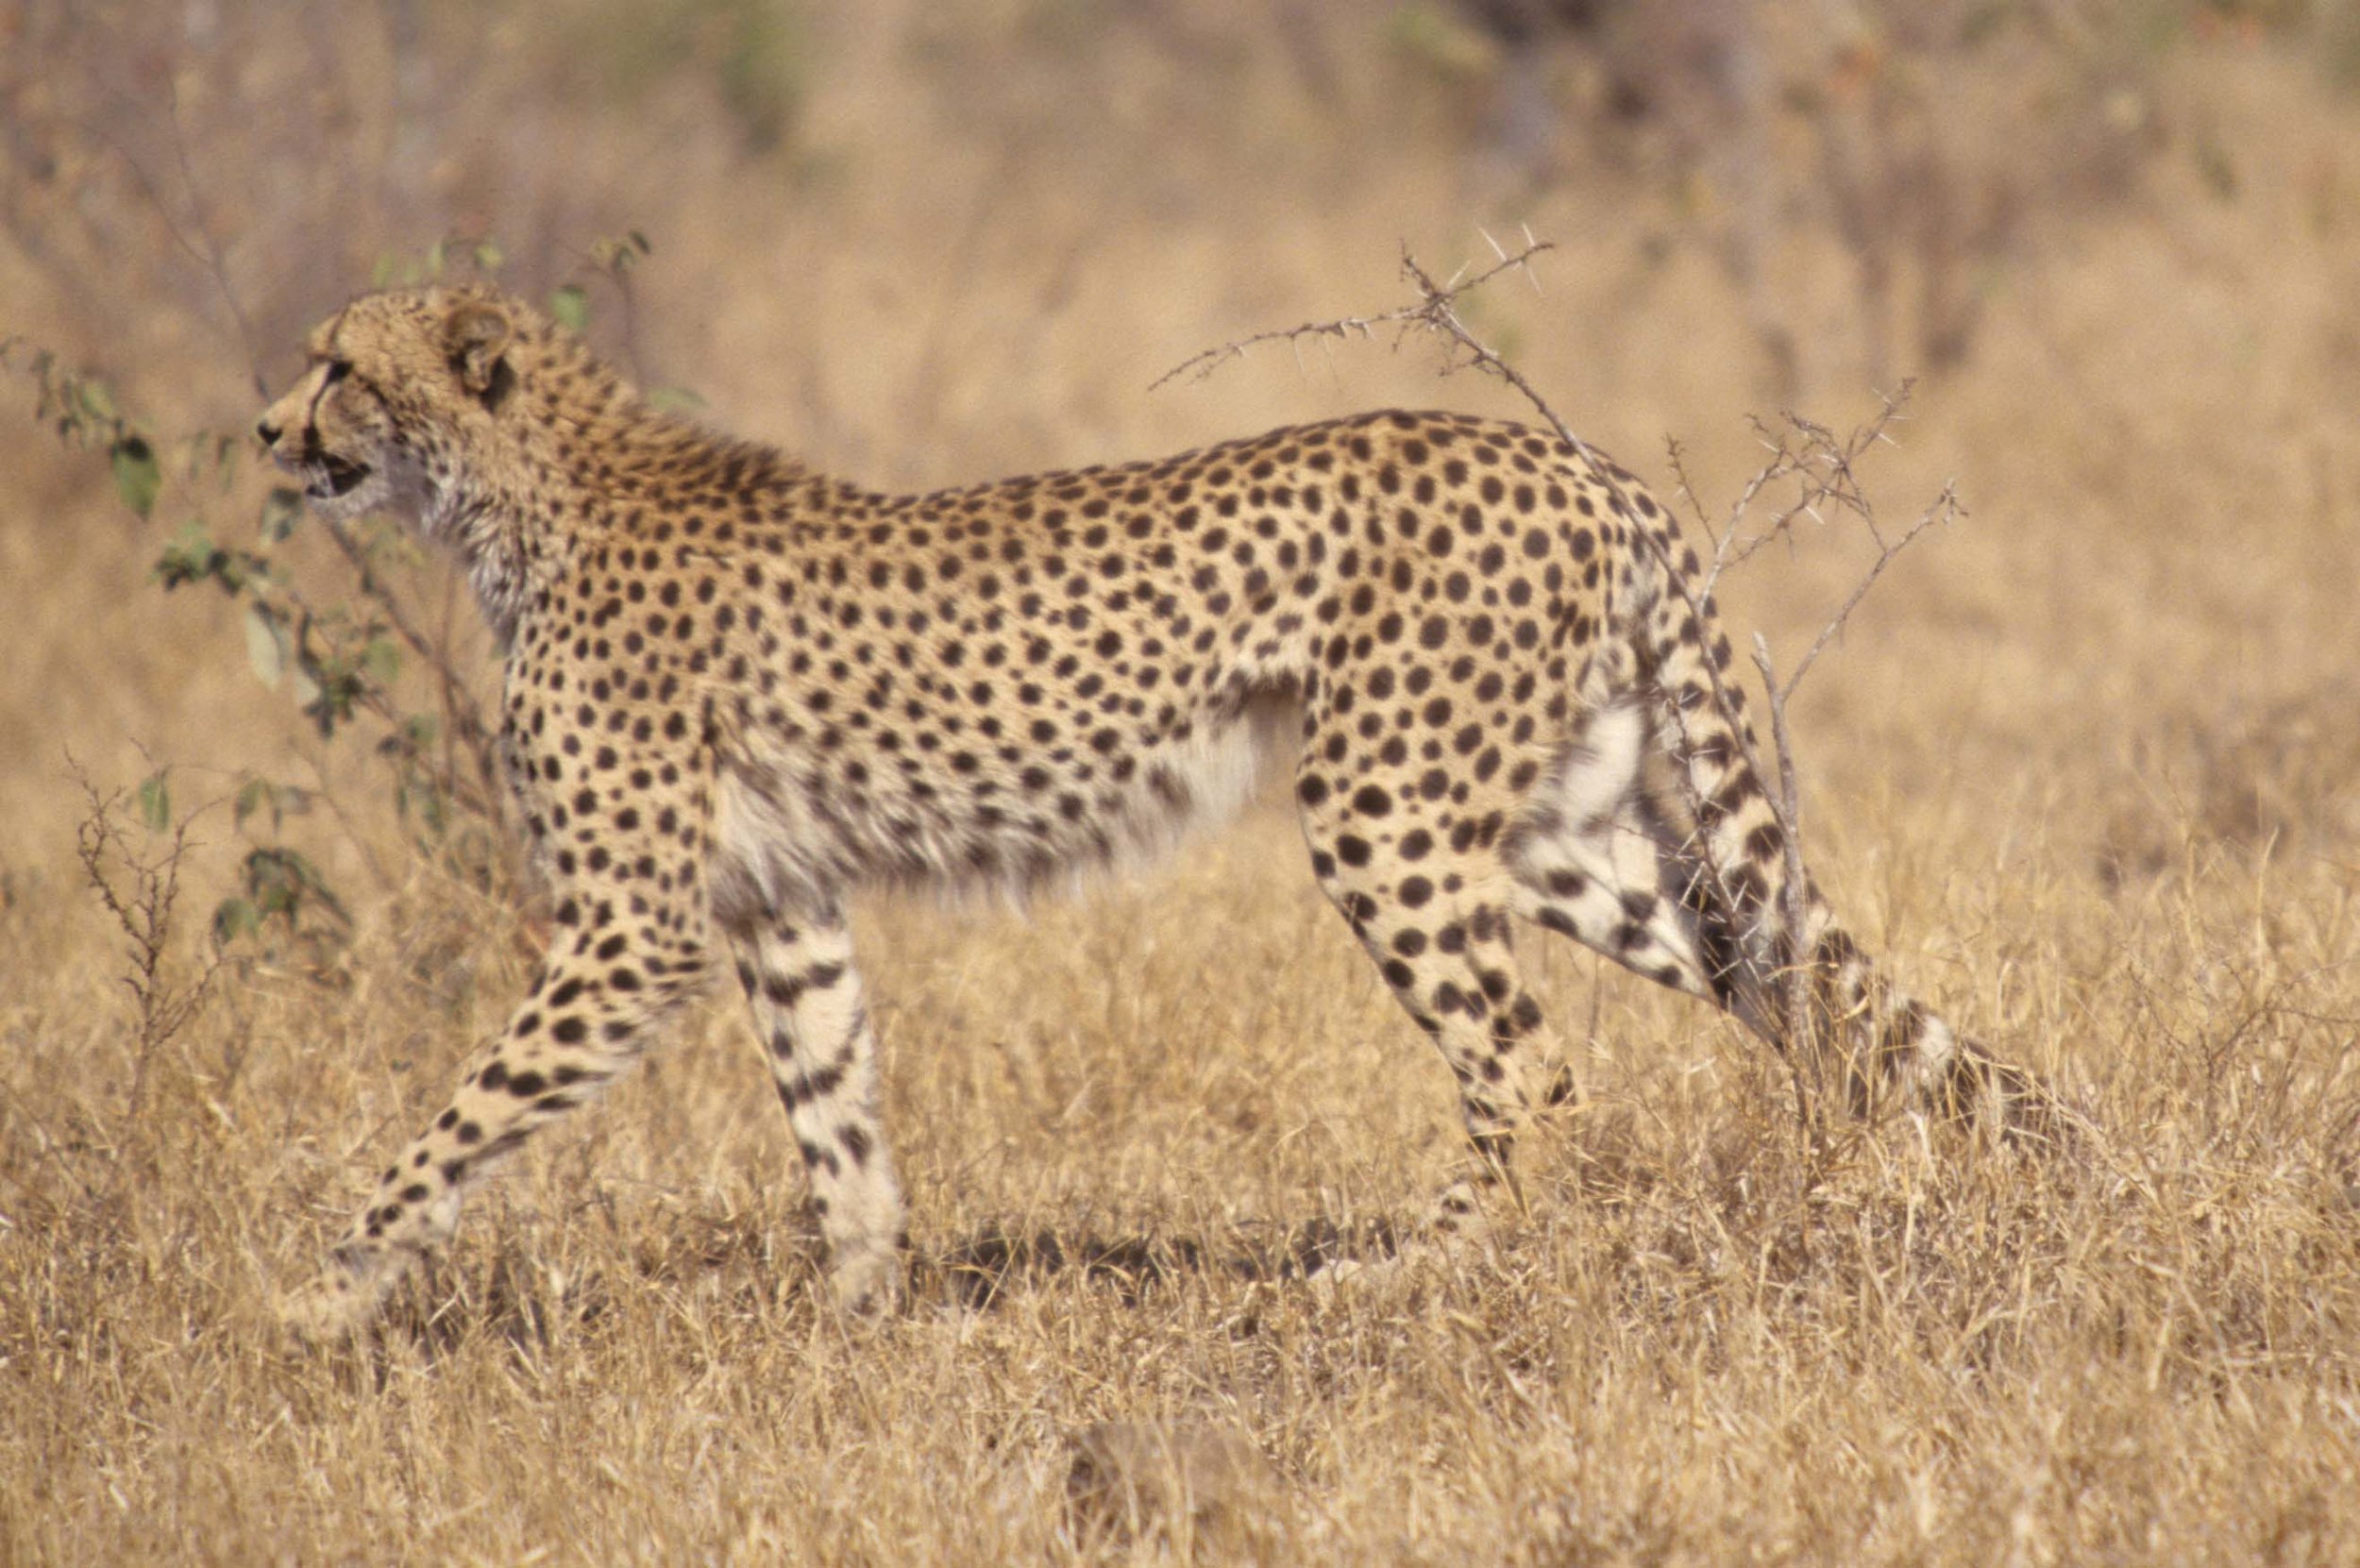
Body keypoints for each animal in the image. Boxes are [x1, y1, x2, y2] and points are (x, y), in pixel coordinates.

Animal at [256, 283, 2043, 1335]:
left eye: (338, 367)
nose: (267, 428)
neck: (519, 493)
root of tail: (1574, 461)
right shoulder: (780, 901)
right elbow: (836, 1110)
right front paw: (866, 1314)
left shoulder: (635, 930)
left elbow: (464, 1115)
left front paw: (322, 1291)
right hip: (1554, 833)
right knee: (1787, 979)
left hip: (1382, 814)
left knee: (1532, 1069)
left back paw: (1411, 1269)